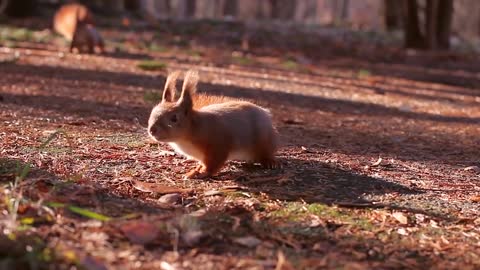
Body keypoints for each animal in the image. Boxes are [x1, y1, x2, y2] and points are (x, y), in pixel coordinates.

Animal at [148, 70, 280, 178]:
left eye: (174, 118)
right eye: (152, 112)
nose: (152, 130)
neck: (194, 129)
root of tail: (266, 114)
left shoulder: (218, 146)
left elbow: (213, 164)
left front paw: (201, 173)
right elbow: (202, 163)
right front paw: (197, 169)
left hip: (264, 141)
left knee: (266, 153)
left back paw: (270, 162)